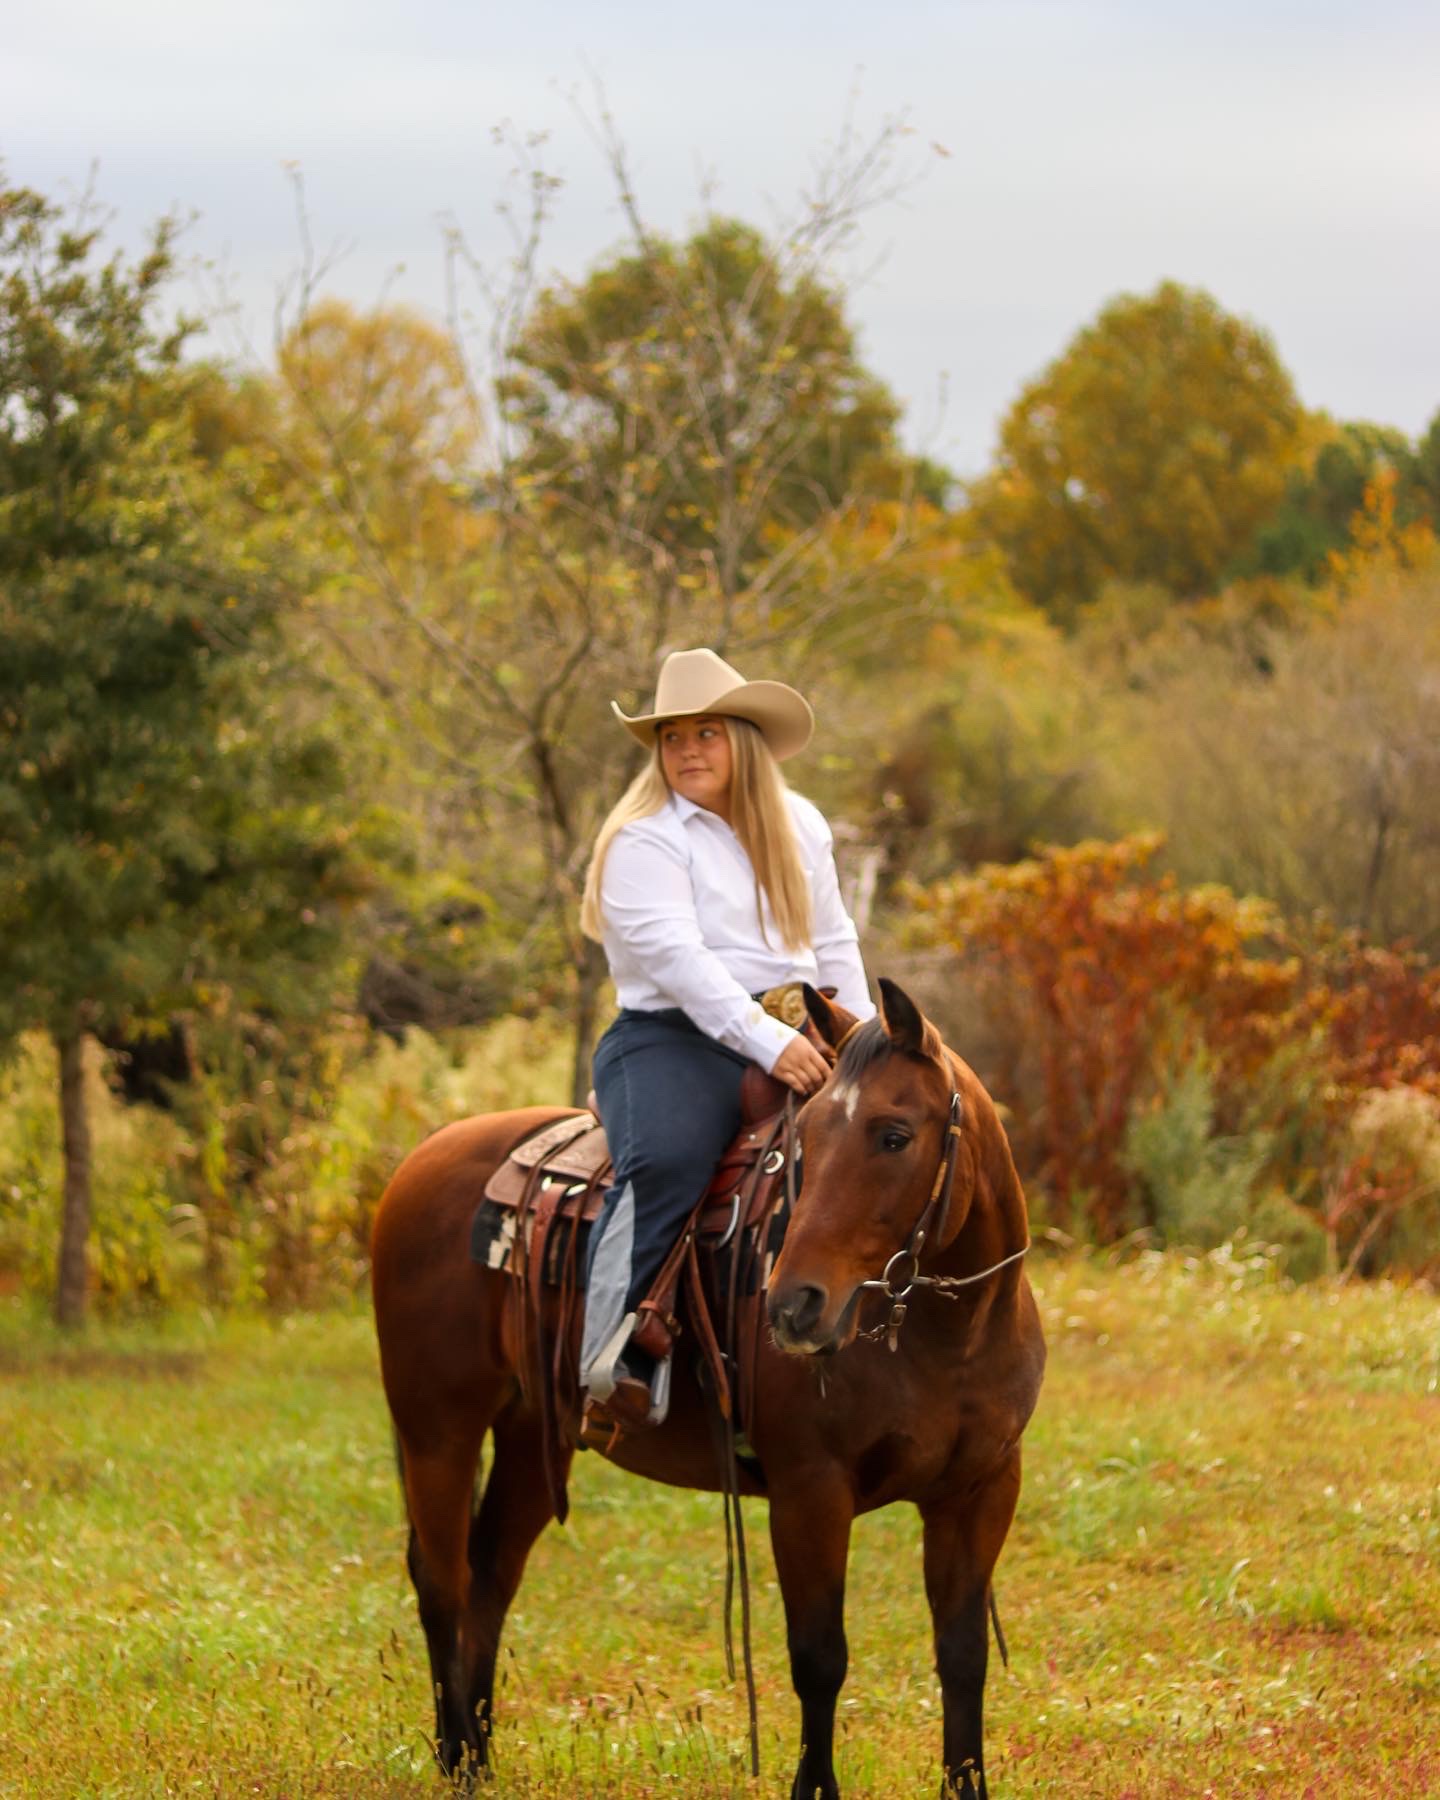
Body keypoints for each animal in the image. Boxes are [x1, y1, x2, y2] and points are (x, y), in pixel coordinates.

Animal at [370, 978, 1046, 1798]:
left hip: (534, 1435)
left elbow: (962, 1656)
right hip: (437, 1427)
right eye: (805, 1138)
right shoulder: (810, 1492)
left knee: (490, 1575)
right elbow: (820, 1658)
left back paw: (476, 1756)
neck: (947, 1338)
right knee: (441, 1578)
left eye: (893, 1135)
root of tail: (421, 1160)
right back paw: (457, 1756)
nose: (793, 1305)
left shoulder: (981, 1490)